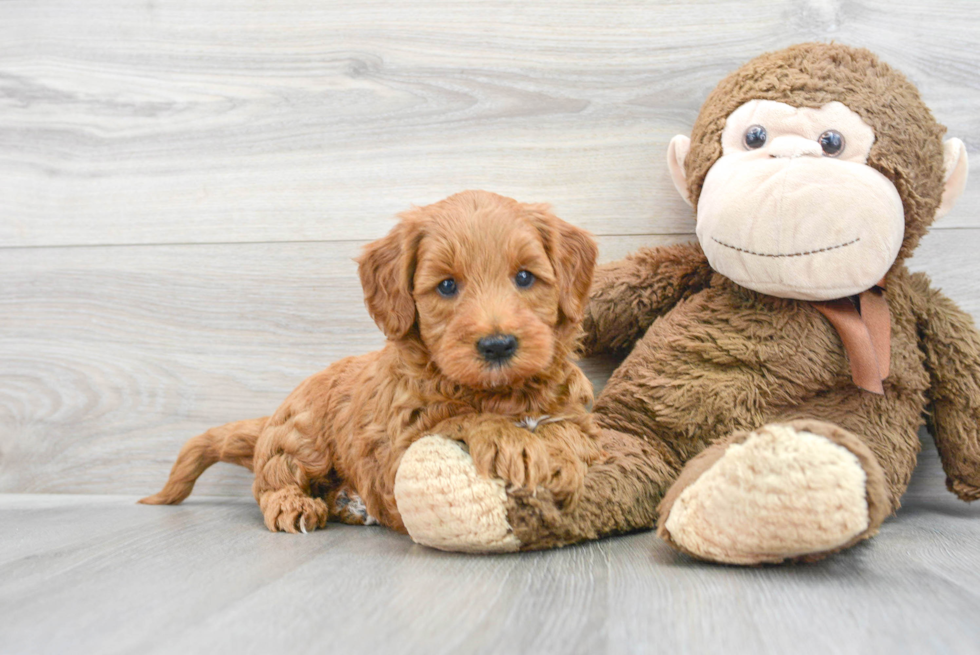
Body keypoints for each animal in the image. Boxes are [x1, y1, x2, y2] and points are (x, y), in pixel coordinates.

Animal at [137, 190, 596, 532]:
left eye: (525, 277)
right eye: (447, 286)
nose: (498, 345)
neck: (500, 394)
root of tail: (272, 418)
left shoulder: (579, 417)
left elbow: (572, 432)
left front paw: (553, 453)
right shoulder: (398, 447)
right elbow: (460, 419)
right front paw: (516, 444)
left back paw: (349, 501)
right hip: (301, 439)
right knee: (271, 480)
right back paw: (294, 505)